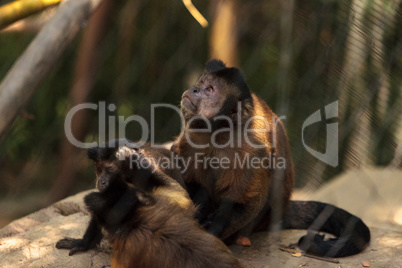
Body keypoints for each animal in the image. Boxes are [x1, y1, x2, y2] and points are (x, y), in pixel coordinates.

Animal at [173, 59, 370, 258]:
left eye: (209, 89)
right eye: (199, 84)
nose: (194, 89)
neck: (219, 133)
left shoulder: (250, 149)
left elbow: (244, 203)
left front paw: (209, 232)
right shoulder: (192, 137)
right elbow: (195, 184)